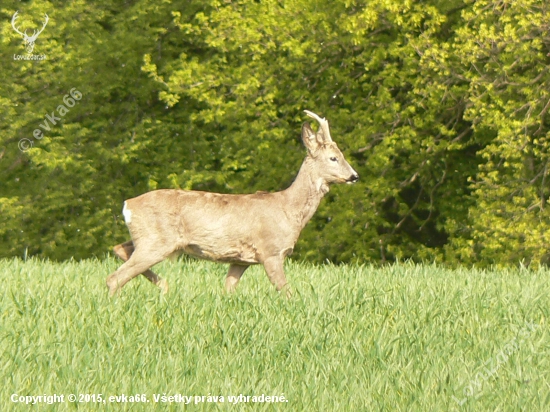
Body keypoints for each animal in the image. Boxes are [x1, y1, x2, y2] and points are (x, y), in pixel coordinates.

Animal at [106, 109, 360, 296]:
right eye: (333, 158)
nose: (354, 176)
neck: (288, 209)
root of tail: (128, 205)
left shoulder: (240, 260)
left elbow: (228, 289)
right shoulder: (271, 251)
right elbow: (287, 292)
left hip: (146, 238)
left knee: (119, 249)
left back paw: (164, 286)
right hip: (156, 240)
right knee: (114, 277)